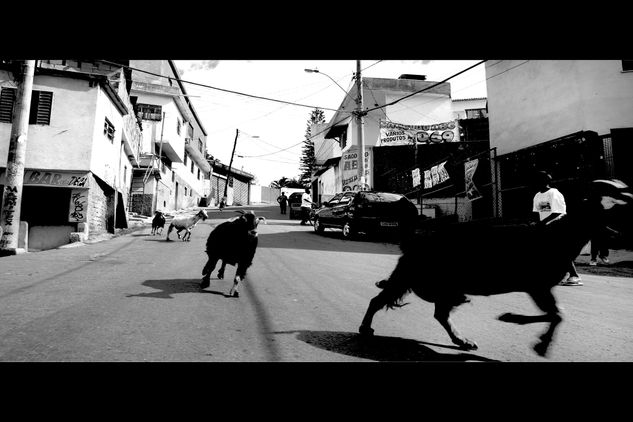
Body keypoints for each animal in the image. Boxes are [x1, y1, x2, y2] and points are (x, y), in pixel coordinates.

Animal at [358, 180, 628, 358]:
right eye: (611, 206)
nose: (620, 233)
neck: (558, 236)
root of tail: (413, 240)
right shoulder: (536, 286)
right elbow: (556, 314)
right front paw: (532, 336)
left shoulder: (539, 288)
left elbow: (556, 314)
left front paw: (532, 335)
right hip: (410, 277)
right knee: (379, 300)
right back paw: (364, 328)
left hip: (440, 285)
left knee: (440, 313)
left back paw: (462, 340)